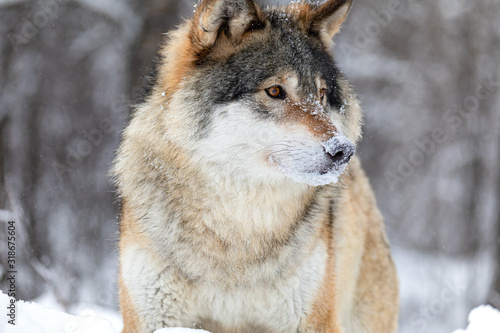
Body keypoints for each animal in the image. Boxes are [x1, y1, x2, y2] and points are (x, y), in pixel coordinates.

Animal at [113, 0, 398, 330]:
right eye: (274, 91)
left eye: (322, 95)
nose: (343, 150)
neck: (237, 230)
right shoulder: (154, 320)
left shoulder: (312, 321)